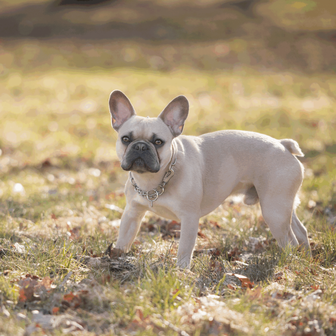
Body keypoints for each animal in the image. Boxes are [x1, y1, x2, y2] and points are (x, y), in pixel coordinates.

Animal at [109, 89, 312, 268]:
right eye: (125, 139)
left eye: (158, 142)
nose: (140, 146)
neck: (152, 182)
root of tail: (283, 145)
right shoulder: (132, 213)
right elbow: (124, 238)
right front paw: (116, 256)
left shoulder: (189, 219)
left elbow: (184, 249)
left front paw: (181, 272)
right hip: (282, 205)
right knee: (300, 231)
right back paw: (305, 257)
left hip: (273, 211)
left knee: (290, 241)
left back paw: (286, 263)